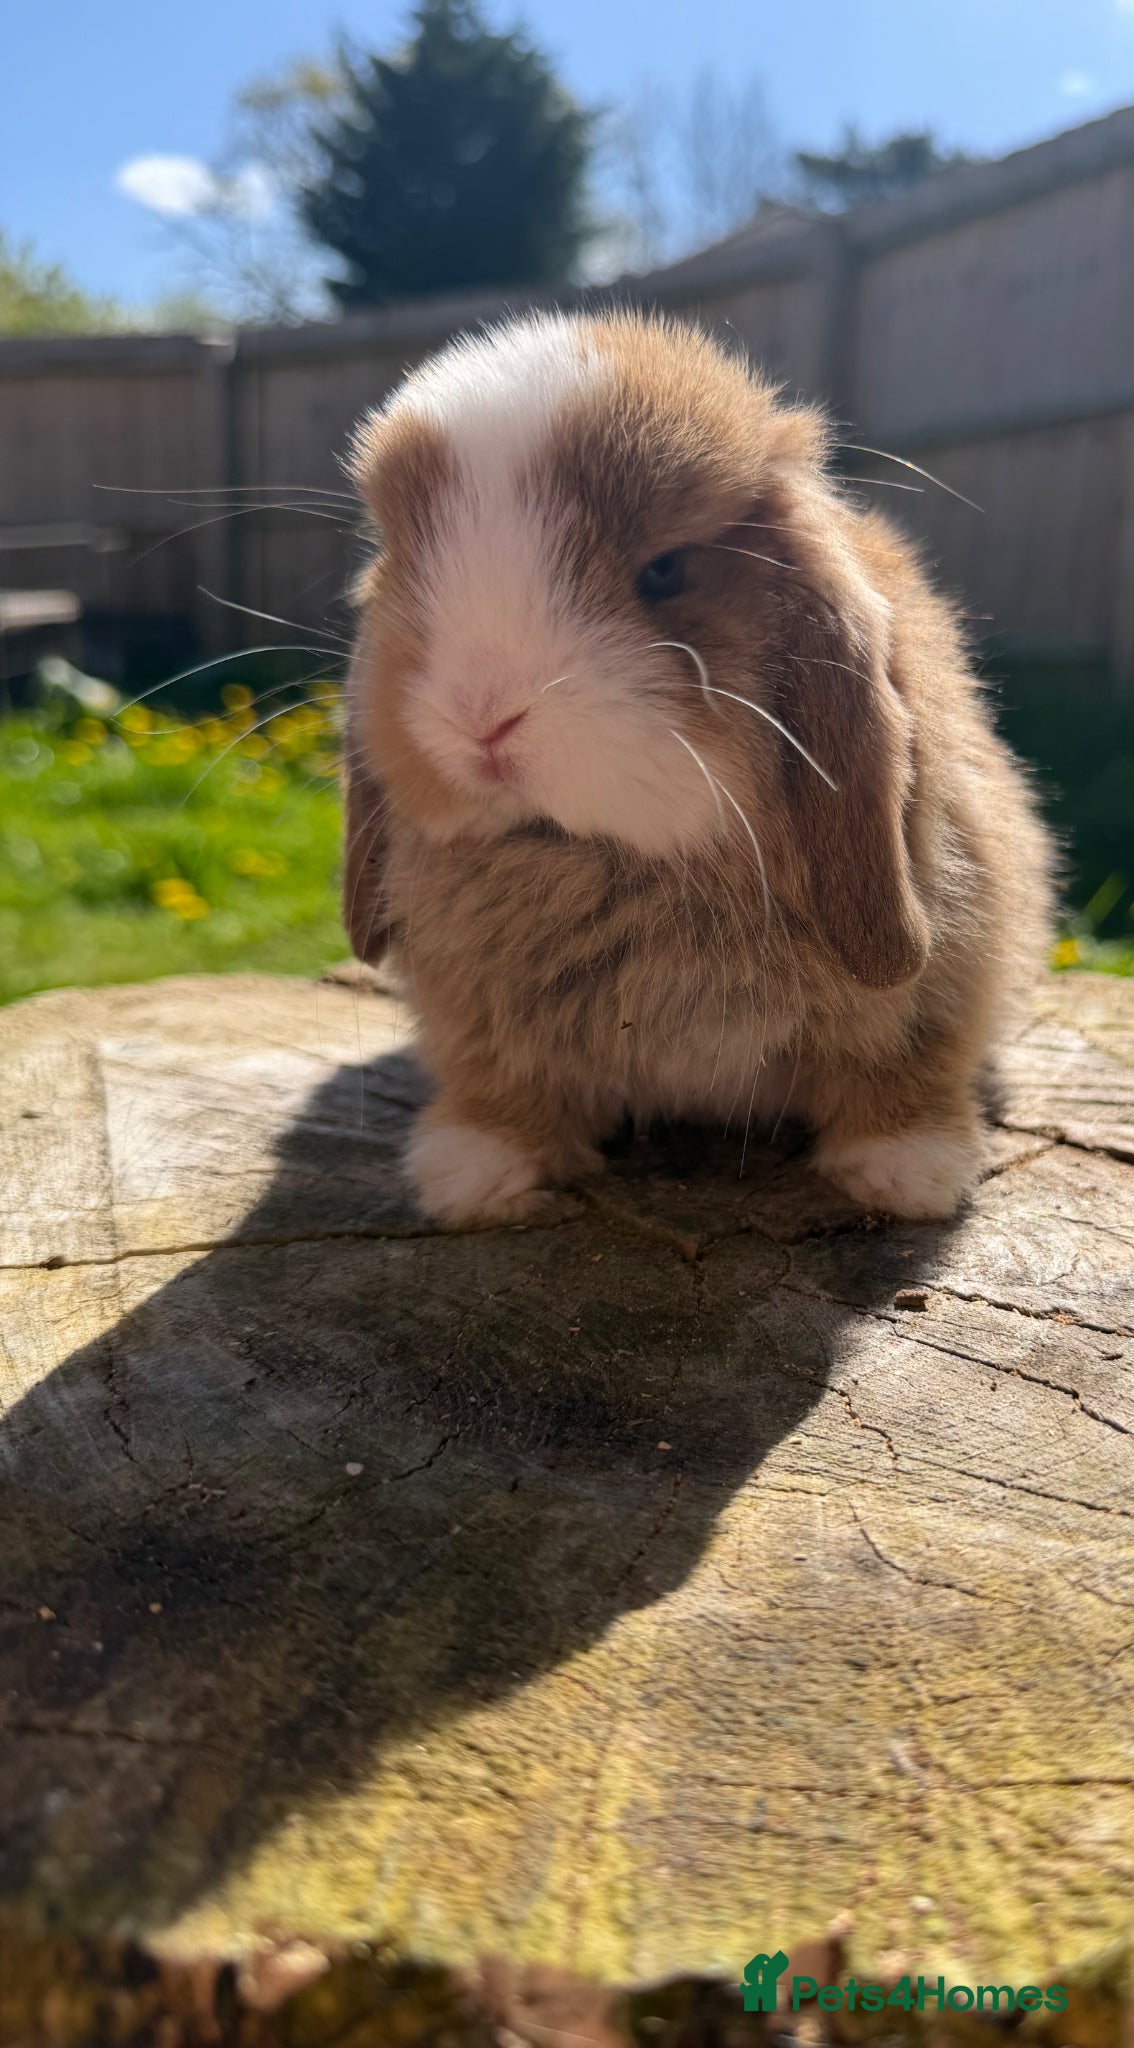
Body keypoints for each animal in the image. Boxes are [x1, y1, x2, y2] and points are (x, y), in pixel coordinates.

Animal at [342, 310, 1051, 1228]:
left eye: (664, 571)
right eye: (401, 569)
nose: (481, 716)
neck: (616, 857)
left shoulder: (947, 962)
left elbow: (903, 1058)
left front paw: (909, 1171)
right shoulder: (482, 1017)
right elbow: (504, 1079)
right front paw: (475, 1171)